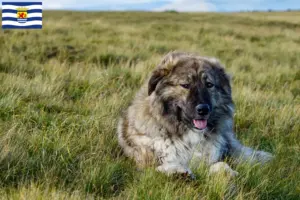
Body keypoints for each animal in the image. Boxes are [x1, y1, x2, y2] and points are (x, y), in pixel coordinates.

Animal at [118, 51, 274, 177]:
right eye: (185, 85)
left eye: (209, 85)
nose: (203, 110)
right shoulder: (148, 162)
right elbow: (166, 165)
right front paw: (178, 172)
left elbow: (221, 165)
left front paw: (227, 173)